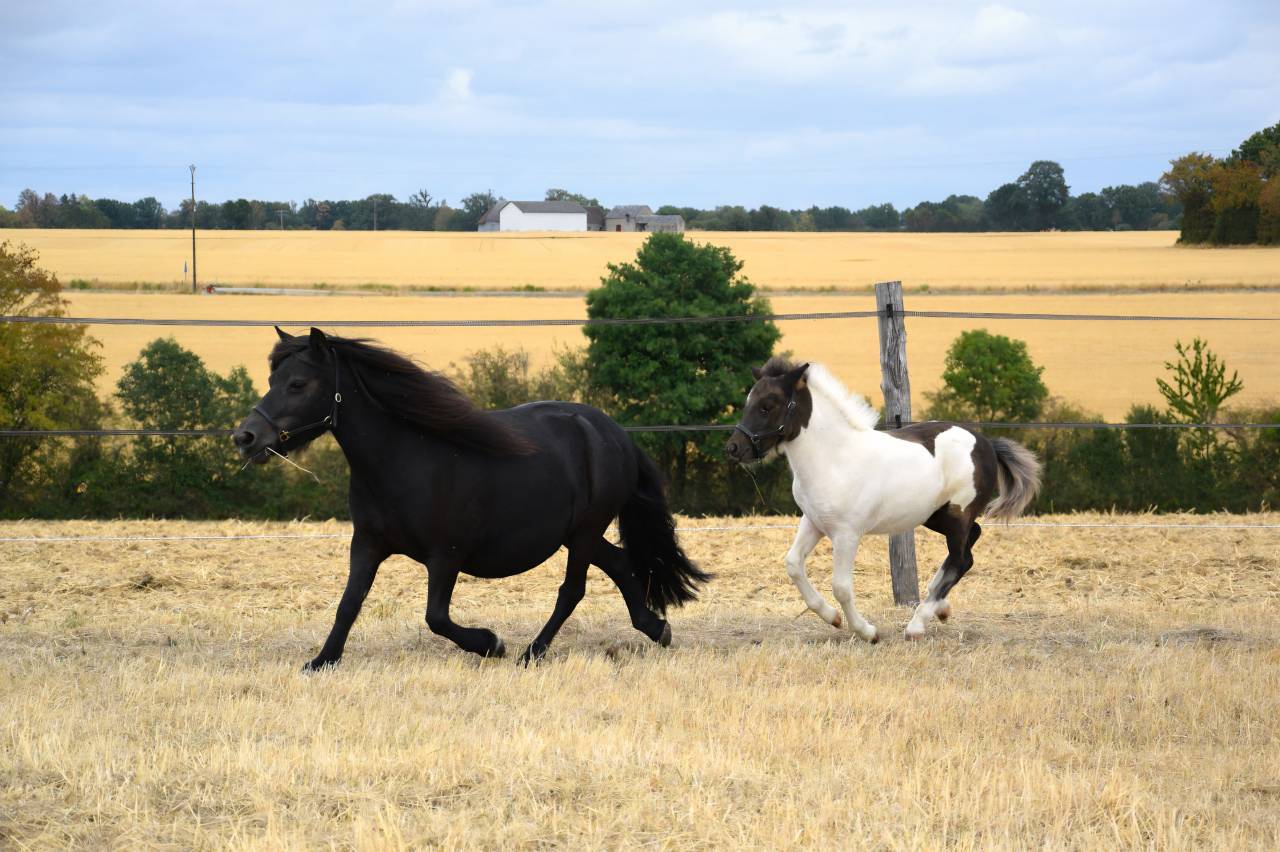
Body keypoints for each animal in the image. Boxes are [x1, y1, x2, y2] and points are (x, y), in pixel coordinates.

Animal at [233, 327, 709, 670]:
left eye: (298, 383)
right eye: (272, 379)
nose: (246, 437)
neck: (403, 459)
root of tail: (615, 433)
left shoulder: (446, 555)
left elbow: (436, 617)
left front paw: (490, 643)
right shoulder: (367, 544)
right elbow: (349, 604)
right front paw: (322, 660)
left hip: (586, 531)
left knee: (572, 589)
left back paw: (531, 653)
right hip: (575, 534)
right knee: (622, 565)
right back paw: (655, 628)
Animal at [724, 357, 1041, 642]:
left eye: (767, 405)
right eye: (749, 402)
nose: (734, 448)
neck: (834, 458)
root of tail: (987, 444)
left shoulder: (847, 534)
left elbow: (841, 586)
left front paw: (867, 632)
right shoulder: (813, 522)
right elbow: (792, 564)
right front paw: (833, 618)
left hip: (957, 515)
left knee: (961, 559)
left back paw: (917, 625)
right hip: (935, 516)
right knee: (970, 544)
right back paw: (940, 607)